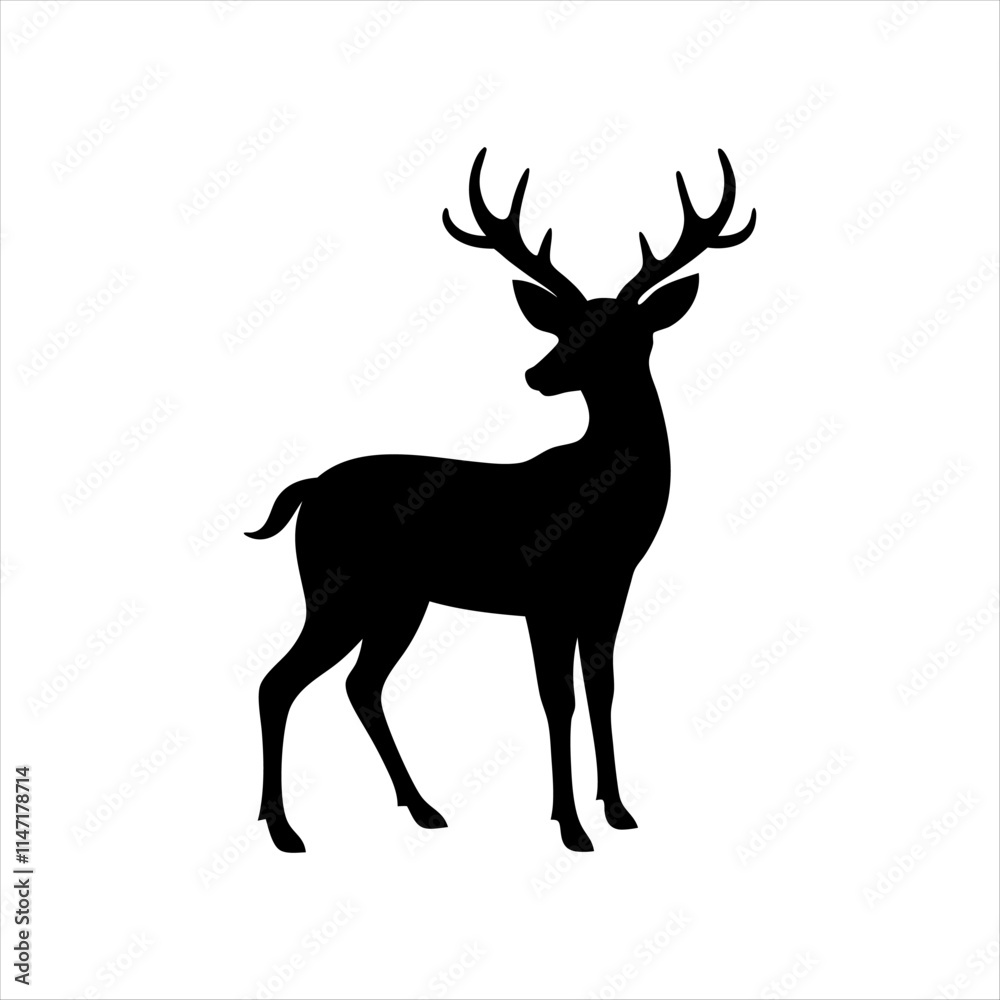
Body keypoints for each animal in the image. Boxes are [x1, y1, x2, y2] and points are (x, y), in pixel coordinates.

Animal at [247, 147, 755, 853]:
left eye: (624, 331)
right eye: (565, 326)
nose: (538, 373)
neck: (606, 505)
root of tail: (310, 489)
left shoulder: (611, 588)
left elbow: (603, 689)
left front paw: (617, 809)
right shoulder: (545, 590)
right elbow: (556, 699)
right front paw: (570, 824)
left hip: (399, 599)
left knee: (360, 684)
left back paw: (422, 807)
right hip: (337, 584)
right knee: (278, 682)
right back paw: (283, 828)